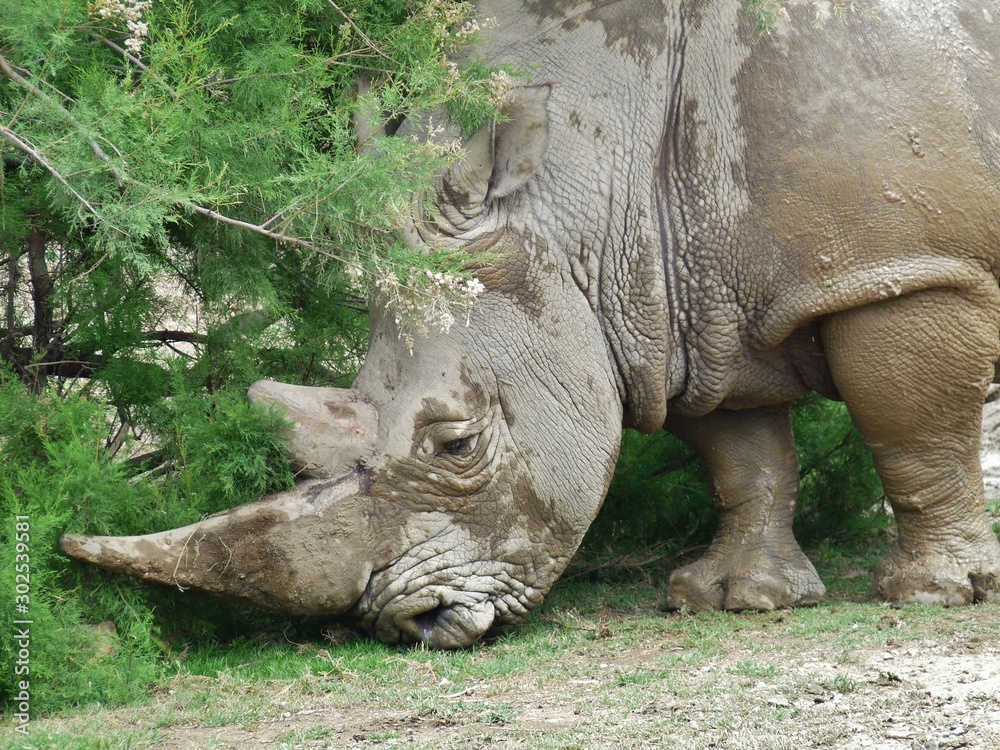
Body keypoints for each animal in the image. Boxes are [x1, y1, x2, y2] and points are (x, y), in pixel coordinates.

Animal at [61, 0, 1000, 648]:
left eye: (456, 444)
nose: (407, 622)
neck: (598, 166)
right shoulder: (689, 302)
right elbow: (743, 453)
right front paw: (737, 599)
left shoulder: (902, 269)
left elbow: (911, 430)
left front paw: (931, 593)